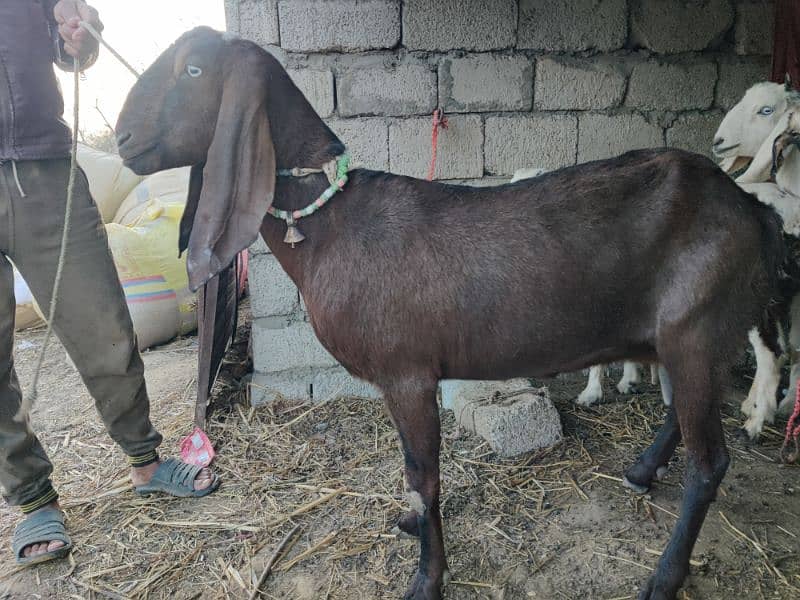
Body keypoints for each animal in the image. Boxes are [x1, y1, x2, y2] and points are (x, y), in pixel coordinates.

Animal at [115, 28, 796, 600]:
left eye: (193, 68)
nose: (120, 139)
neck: (334, 221)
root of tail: (754, 211)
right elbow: (413, 475)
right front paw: (411, 530)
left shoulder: (408, 373)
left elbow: (425, 476)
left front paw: (427, 578)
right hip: (679, 334)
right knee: (682, 417)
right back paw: (640, 471)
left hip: (696, 327)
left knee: (710, 462)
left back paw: (663, 576)